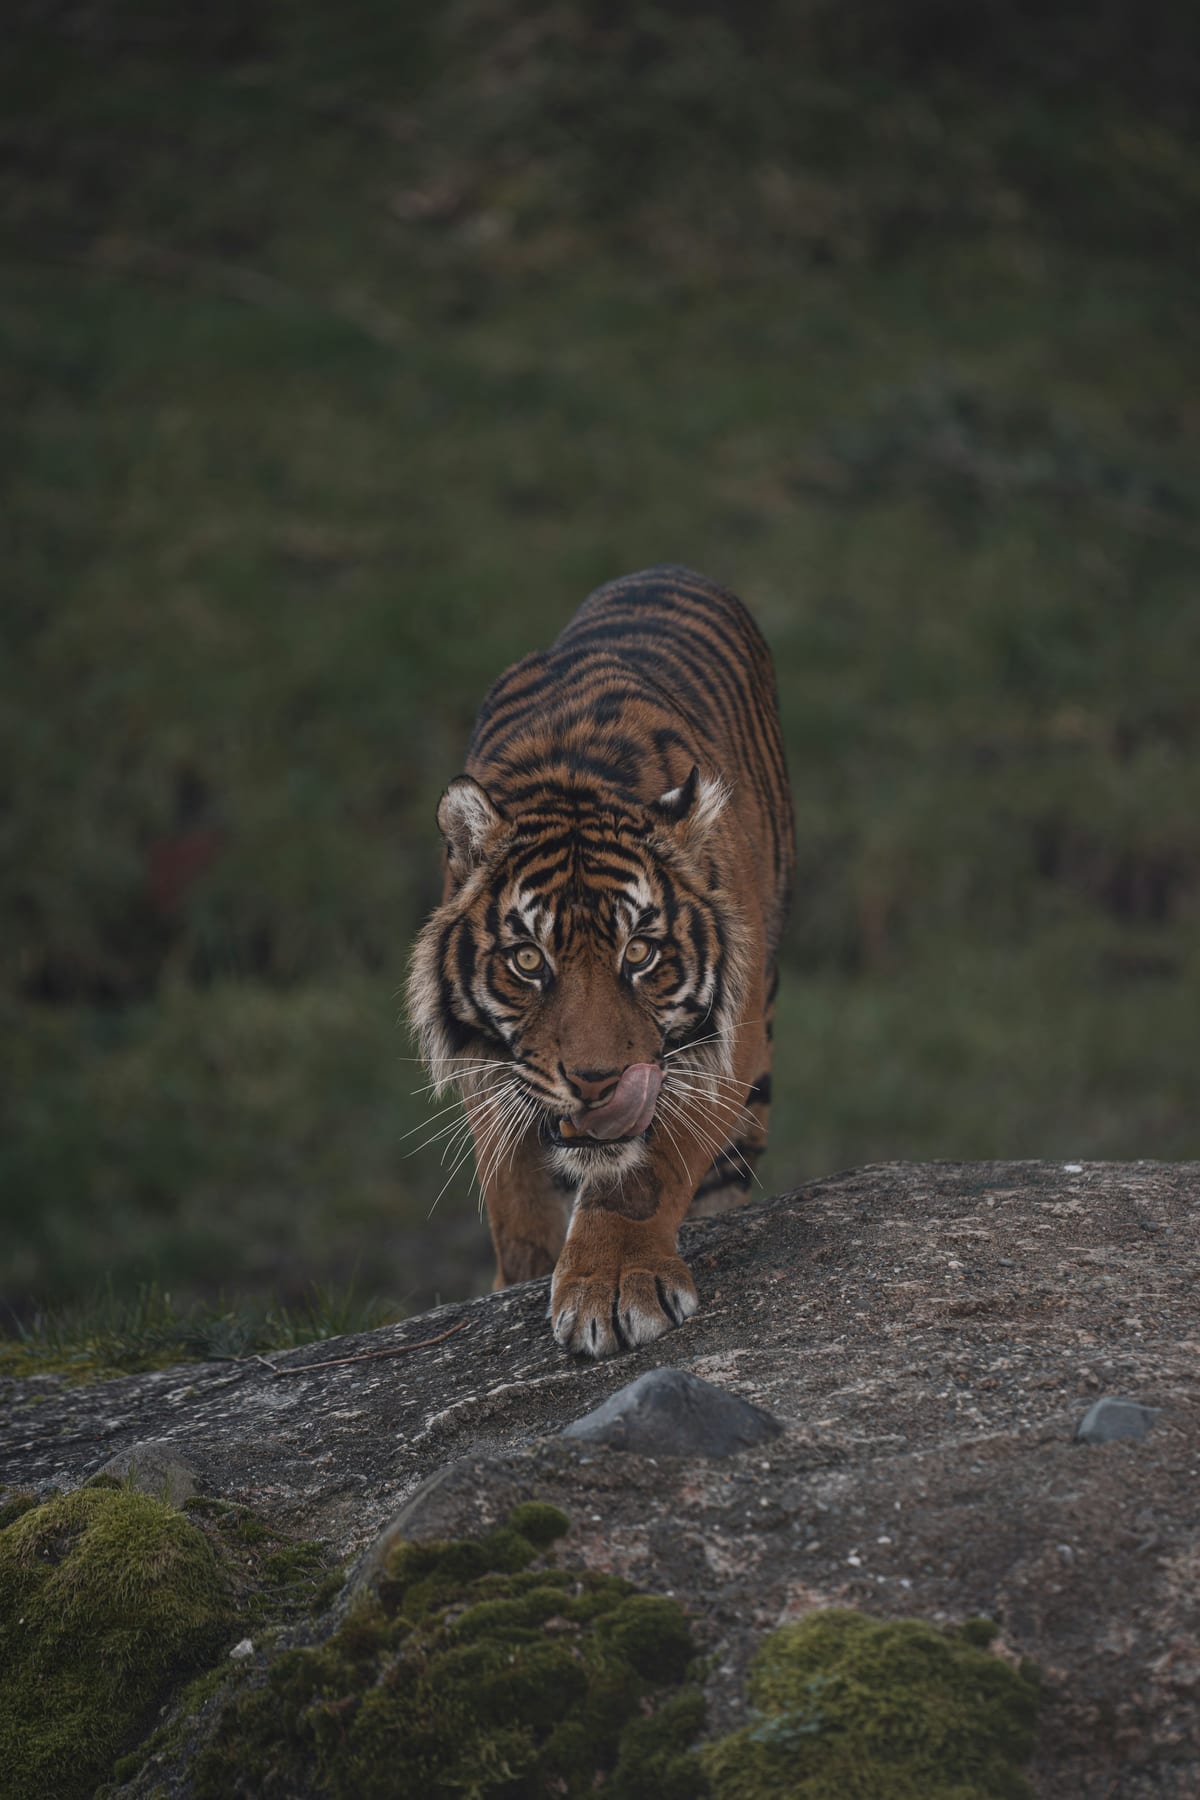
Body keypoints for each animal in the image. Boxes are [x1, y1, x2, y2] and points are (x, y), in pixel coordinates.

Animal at [407, 566, 794, 1358]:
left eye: (639, 952)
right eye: (528, 960)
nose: (596, 1083)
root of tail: (668, 567)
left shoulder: (722, 1049)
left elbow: (640, 1173)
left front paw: (614, 1287)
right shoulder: (489, 1068)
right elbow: (515, 1196)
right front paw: (525, 1277)